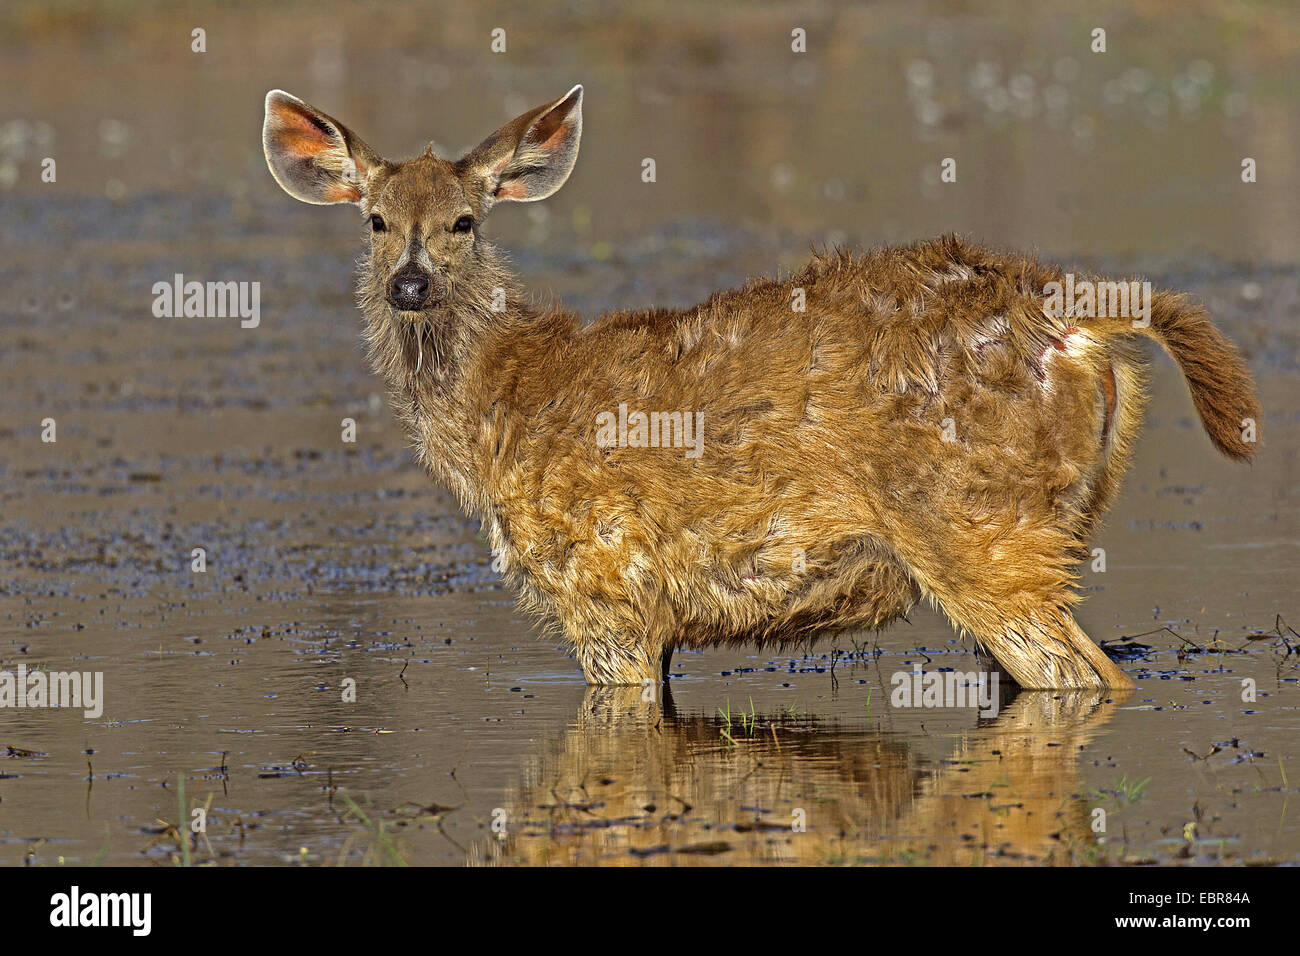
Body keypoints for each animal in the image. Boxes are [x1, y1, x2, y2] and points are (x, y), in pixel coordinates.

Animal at [261, 85, 1258, 691]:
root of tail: (1084, 323)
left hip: (980, 525)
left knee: (1088, 677)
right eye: (375, 220)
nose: (410, 284)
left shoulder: (605, 587)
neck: (494, 414)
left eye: (465, 220)